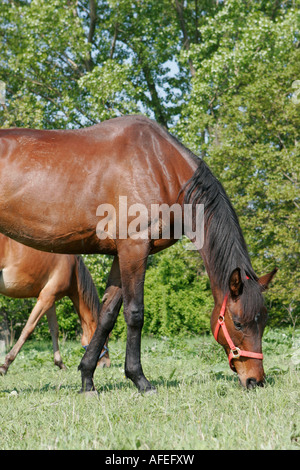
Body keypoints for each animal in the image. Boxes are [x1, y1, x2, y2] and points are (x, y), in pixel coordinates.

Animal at [0, 233, 110, 376]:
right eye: (105, 338)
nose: (106, 365)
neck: (72, 268)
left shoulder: (50, 300)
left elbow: (54, 330)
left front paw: (60, 363)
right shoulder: (45, 298)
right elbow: (28, 329)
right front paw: (5, 365)